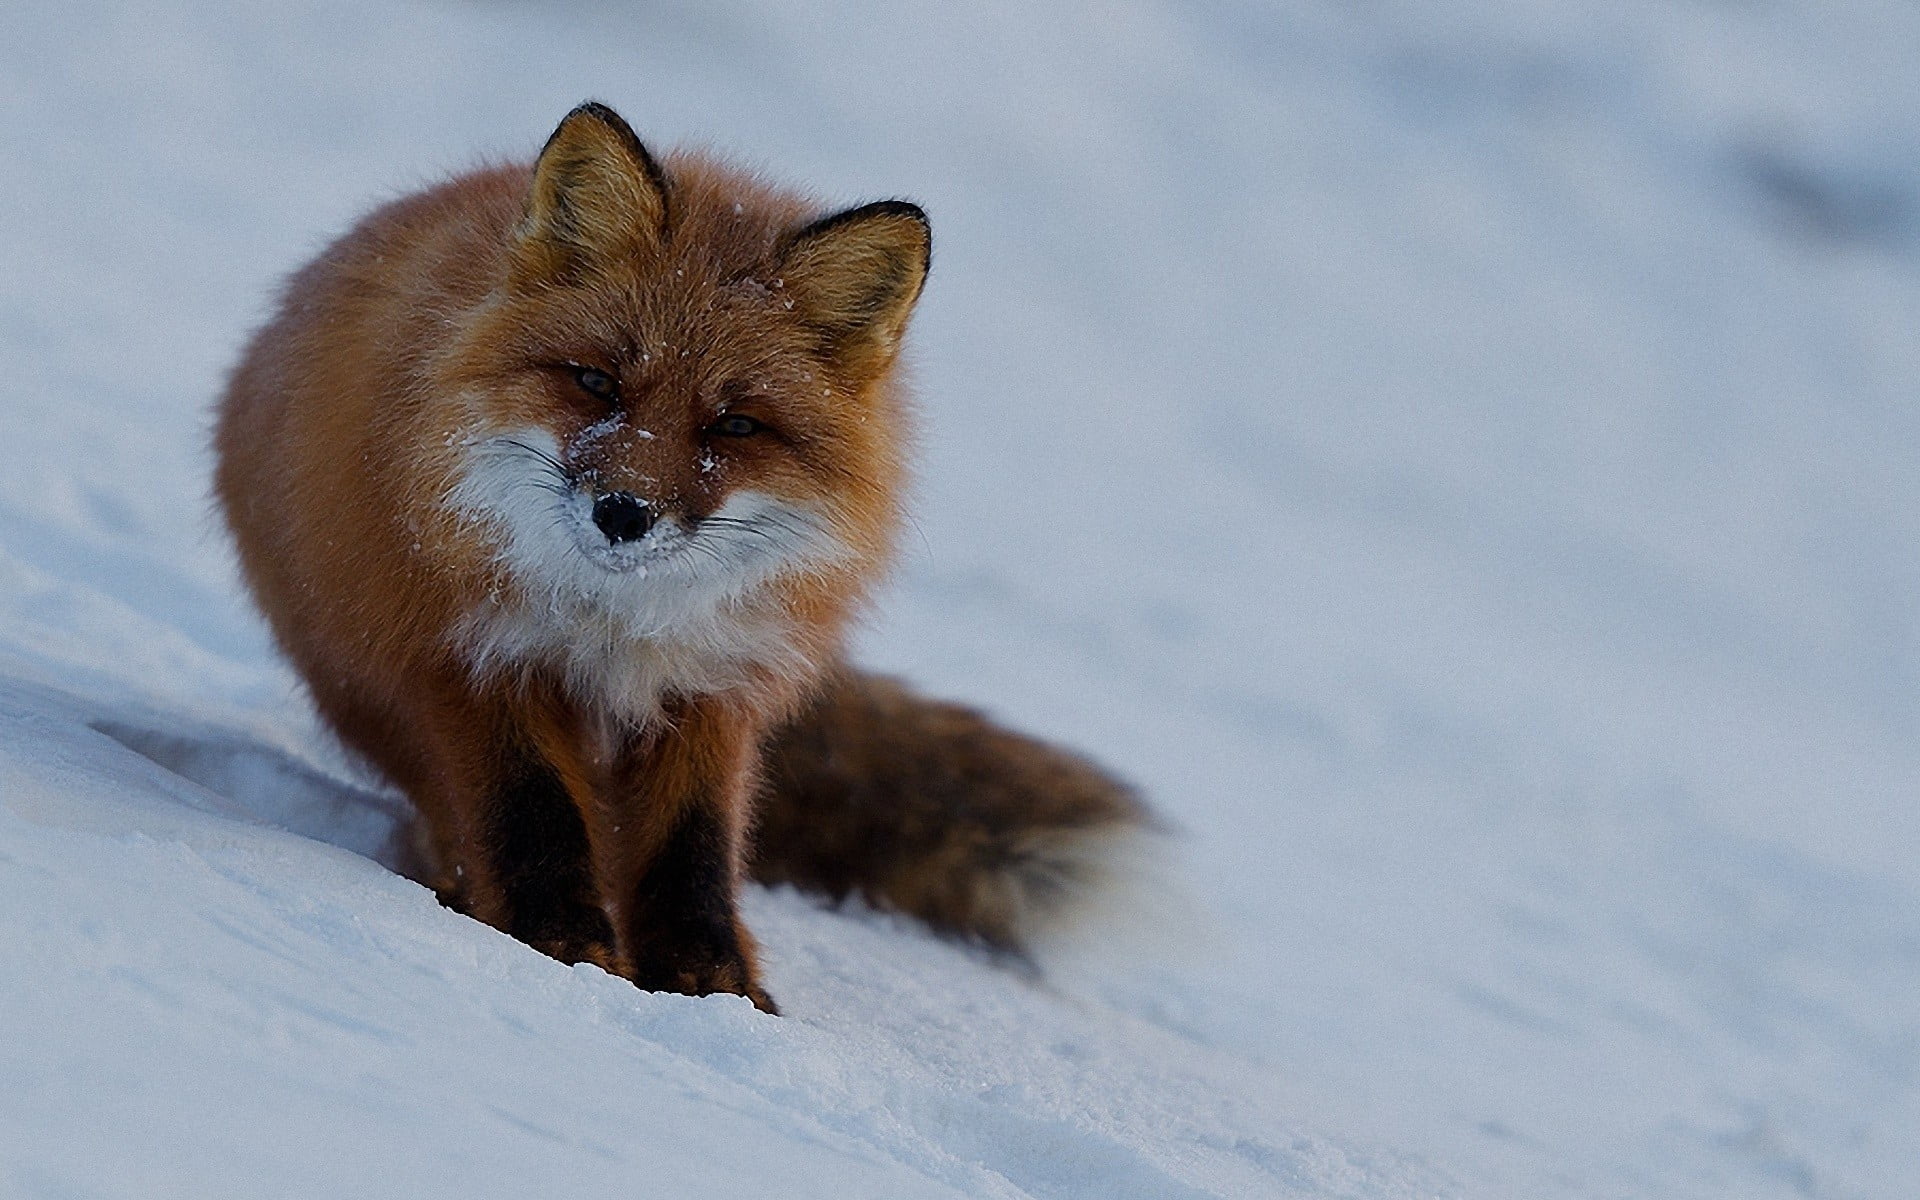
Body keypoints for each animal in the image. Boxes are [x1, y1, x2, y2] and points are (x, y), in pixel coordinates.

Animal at [215, 102, 1148, 1012]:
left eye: (733, 425)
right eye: (597, 382)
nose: (623, 513)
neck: (617, 628)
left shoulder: (713, 692)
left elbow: (688, 851)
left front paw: (709, 985)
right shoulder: (470, 661)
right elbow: (531, 816)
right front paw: (561, 946)